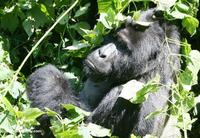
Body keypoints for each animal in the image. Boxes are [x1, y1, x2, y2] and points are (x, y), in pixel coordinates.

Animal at [26, 8, 180, 138]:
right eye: (115, 38)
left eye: (123, 46)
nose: (102, 53)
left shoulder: (136, 92)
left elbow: (76, 127)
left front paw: (49, 77)